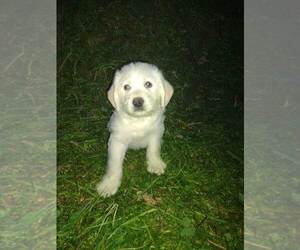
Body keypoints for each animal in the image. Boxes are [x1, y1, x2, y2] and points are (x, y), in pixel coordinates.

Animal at [96, 61, 173, 196]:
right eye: (126, 87)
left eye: (148, 84)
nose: (137, 102)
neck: (138, 120)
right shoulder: (117, 141)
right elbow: (114, 165)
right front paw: (109, 184)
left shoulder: (157, 131)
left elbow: (154, 149)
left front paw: (155, 164)